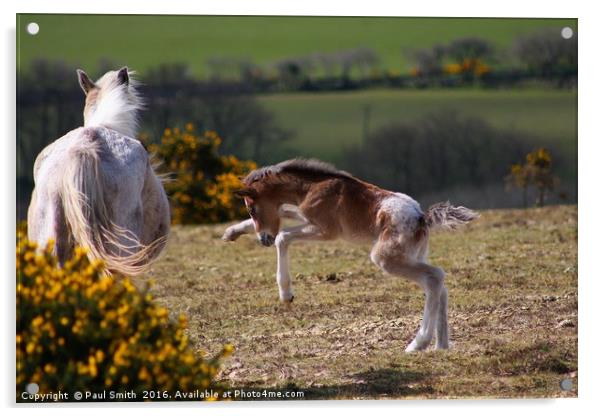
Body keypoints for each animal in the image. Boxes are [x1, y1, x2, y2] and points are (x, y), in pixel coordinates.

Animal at [223, 159, 476, 352]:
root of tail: (421, 217)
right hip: (414, 255)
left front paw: (286, 294)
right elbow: (285, 212)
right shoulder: (304, 216)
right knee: (439, 287)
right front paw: (231, 232)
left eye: (251, 208)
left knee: (435, 277)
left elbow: (283, 236)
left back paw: (418, 343)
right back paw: (441, 345)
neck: (310, 188)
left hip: (386, 258)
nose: (263, 240)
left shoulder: (326, 231)